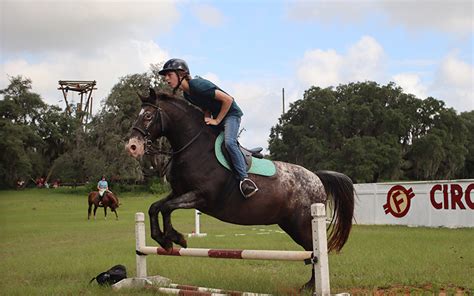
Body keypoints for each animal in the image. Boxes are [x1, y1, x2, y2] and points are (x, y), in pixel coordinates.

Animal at [124, 88, 354, 290]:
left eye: (148, 116)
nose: (132, 146)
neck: (194, 148)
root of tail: (316, 177)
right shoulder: (179, 193)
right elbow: (155, 207)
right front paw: (164, 239)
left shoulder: (201, 197)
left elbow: (166, 208)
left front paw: (174, 238)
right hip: (289, 224)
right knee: (310, 252)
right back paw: (309, 284)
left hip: (302, 223)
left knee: (314, 251)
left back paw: (313, 286)